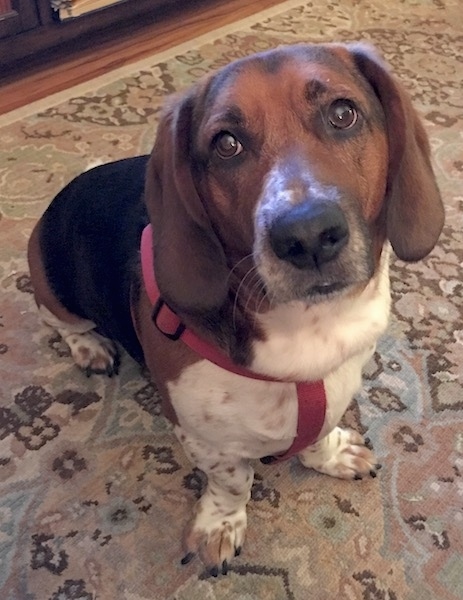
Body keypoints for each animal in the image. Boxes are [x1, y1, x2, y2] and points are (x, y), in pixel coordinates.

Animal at [27, 43, 444, 576]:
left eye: (342, 114)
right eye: (226, 144)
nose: (307, 235)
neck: (309, 325)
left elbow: (318, 433)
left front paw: (330, 456)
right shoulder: (203, 437)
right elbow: (232, 482)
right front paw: (220, 526)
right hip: (52, 289)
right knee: (62, 323)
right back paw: (90, 347)